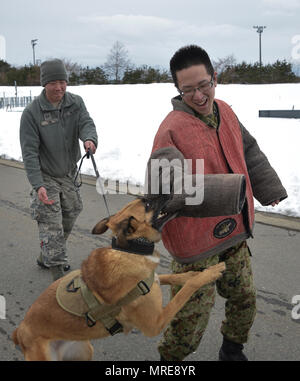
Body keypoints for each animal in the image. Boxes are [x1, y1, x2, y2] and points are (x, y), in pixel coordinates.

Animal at [12, 196, 225, 360]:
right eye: (147, 204)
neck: (131, 250)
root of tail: (19, 332)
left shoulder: (154, 279)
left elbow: (172, 277)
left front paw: (193, 273)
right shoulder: (156, 323)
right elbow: (187, 289)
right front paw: (210, 272)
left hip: (84, 350)